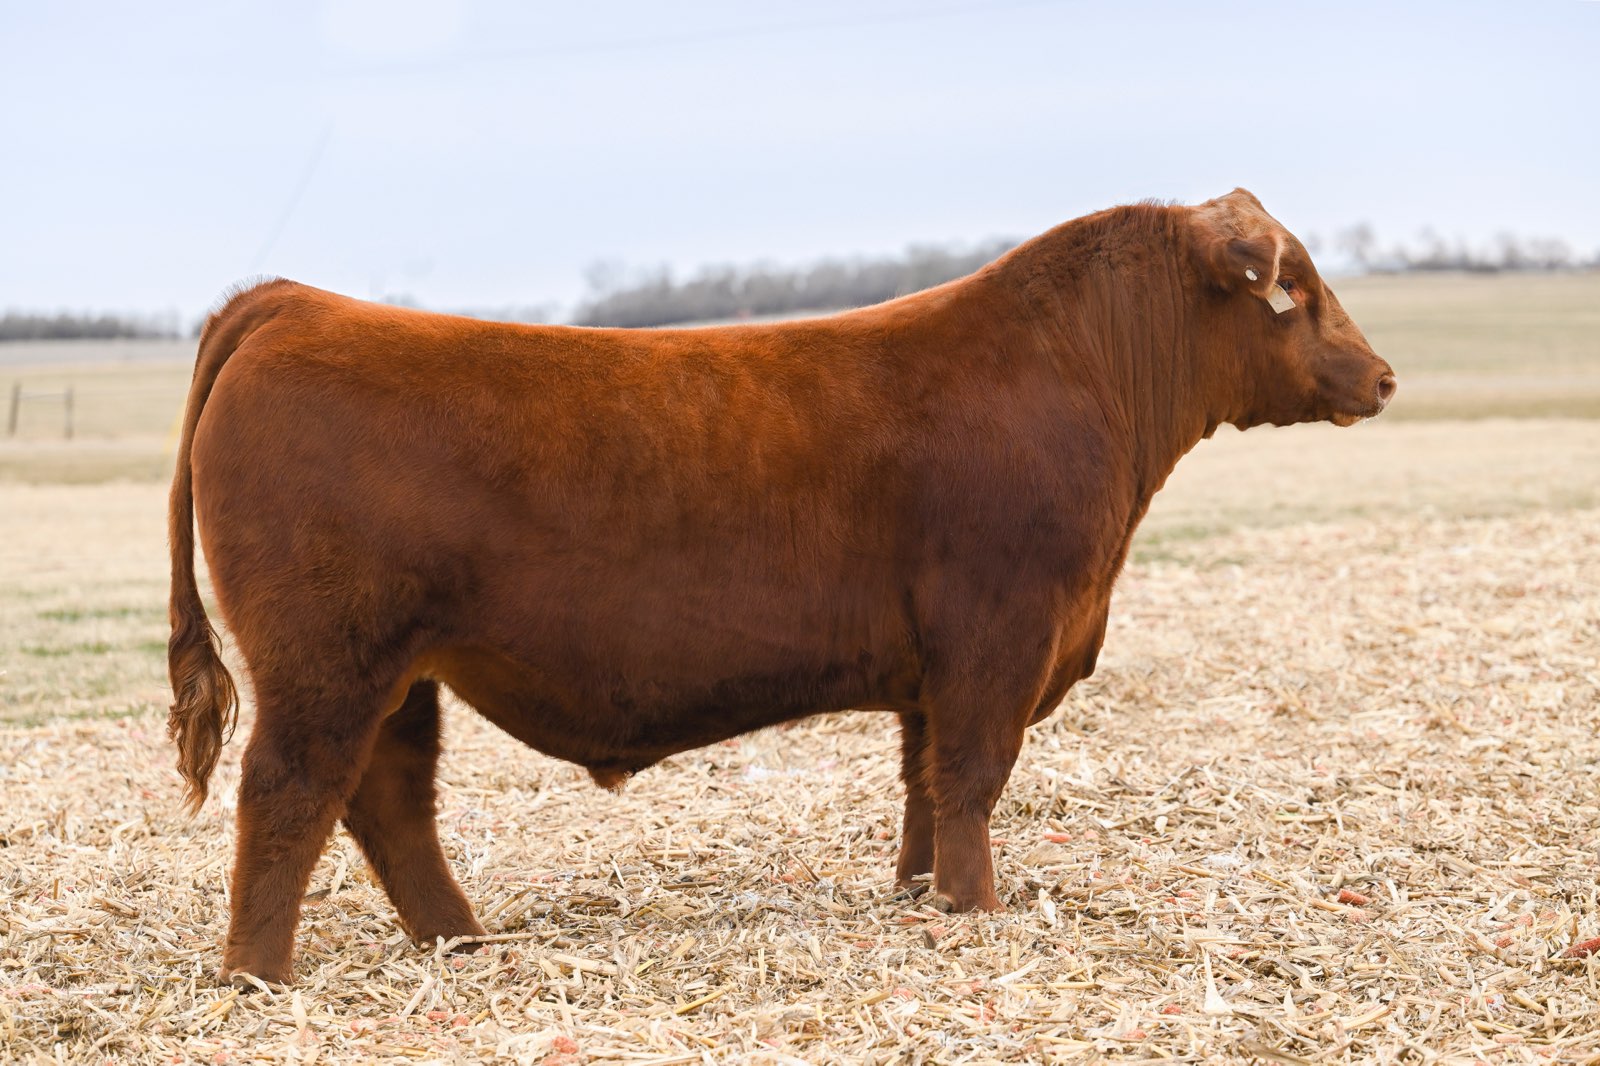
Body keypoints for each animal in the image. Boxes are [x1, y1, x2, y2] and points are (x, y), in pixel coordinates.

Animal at [168, 188, 1395, 985]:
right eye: (1297, 289)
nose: (1382, 376)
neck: (1076, 374)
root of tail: (294, 303)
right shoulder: (1000, 636)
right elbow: (973, 777)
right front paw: (977, 909)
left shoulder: (935, 665)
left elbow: (923, 782)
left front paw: (921, 894)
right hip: (325, 661)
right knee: (287, 793)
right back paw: (260, 977)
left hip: (400, 667)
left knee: (388, 800)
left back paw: (459, 942)